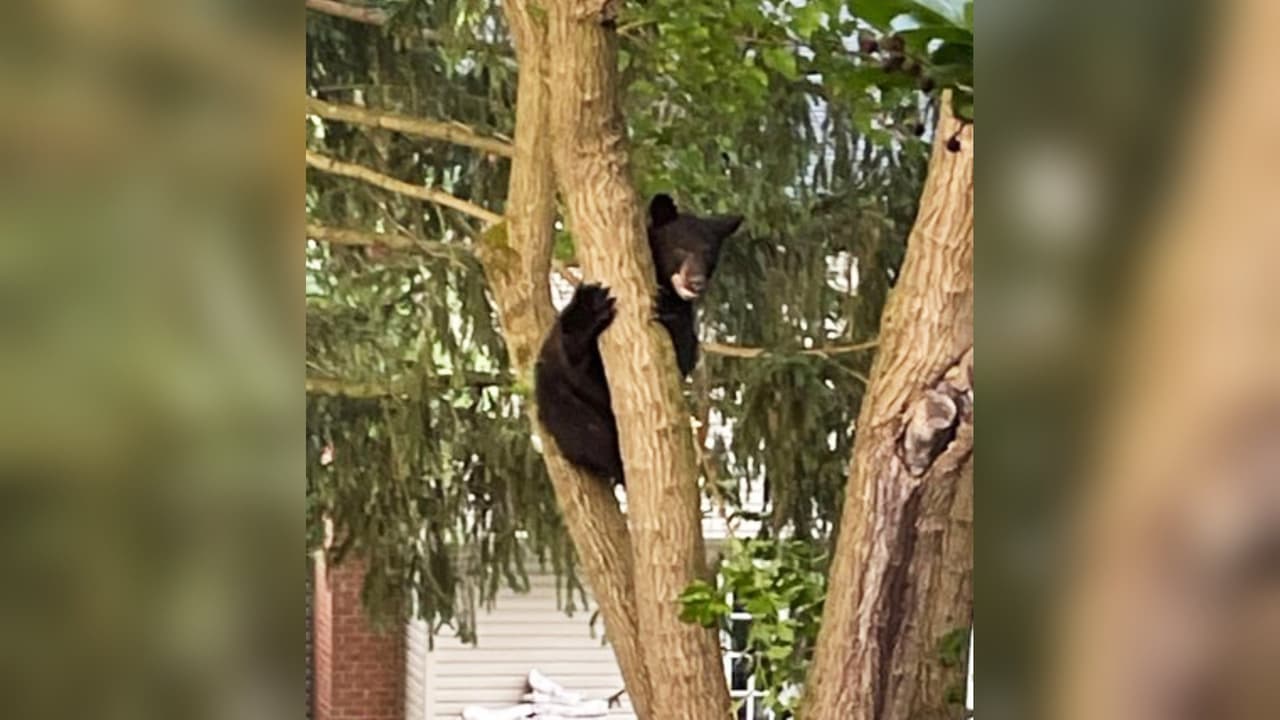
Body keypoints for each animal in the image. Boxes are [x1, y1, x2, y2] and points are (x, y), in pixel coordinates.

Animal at [533, 193, 743, 486]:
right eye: (680, 248)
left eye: (709, 254)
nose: (696, 282)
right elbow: (578, 357)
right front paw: (592, 307)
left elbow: (682, 355)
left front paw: (668, 313)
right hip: (557, 399)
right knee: (582, 430)